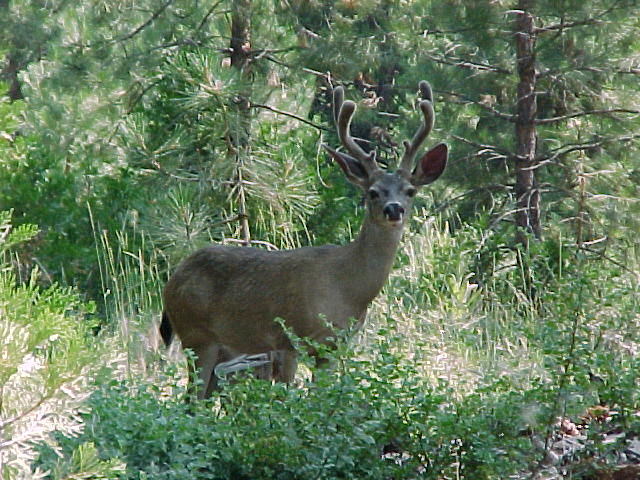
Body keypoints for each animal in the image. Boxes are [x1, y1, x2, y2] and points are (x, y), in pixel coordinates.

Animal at [162, 81, 448, 398]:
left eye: (410, 190)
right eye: (373, 192)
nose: (393, 209)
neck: (347, 287)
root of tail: (173, 280)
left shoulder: (335, 345)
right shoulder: (289, 337)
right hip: (196, 334)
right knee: (192, 398)